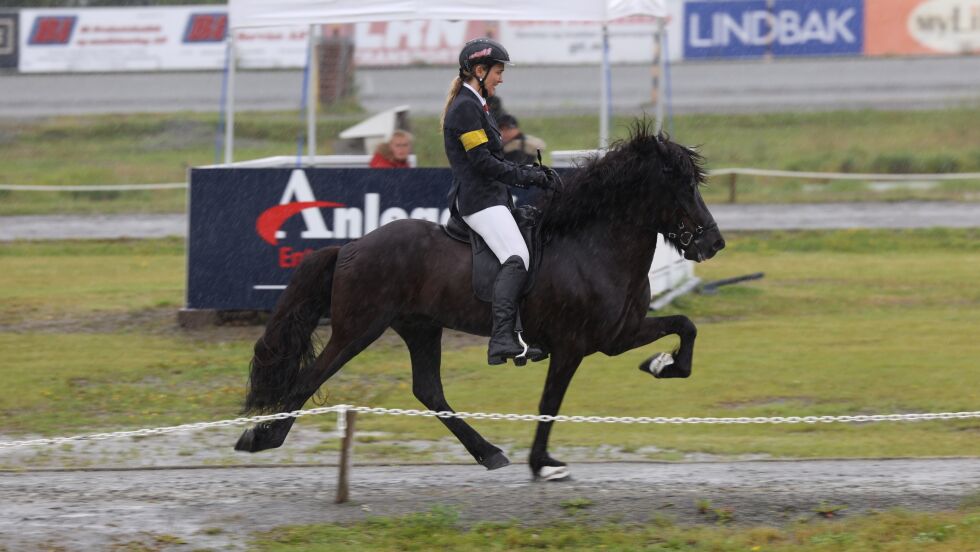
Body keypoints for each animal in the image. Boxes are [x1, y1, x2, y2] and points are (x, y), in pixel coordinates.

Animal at [234, 121, 724, 478]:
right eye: (682, 185)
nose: (713, 243)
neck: (593, 245)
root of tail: (351, 246)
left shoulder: (618, 335)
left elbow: (686, 327)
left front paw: (662, 365)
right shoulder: (573, 346)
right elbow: (550, 403)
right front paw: (542, 464)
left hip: (420, 327)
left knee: (428, 390)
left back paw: (487, 452)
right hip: (358, 329)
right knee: (311, 377)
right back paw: (261, 438)